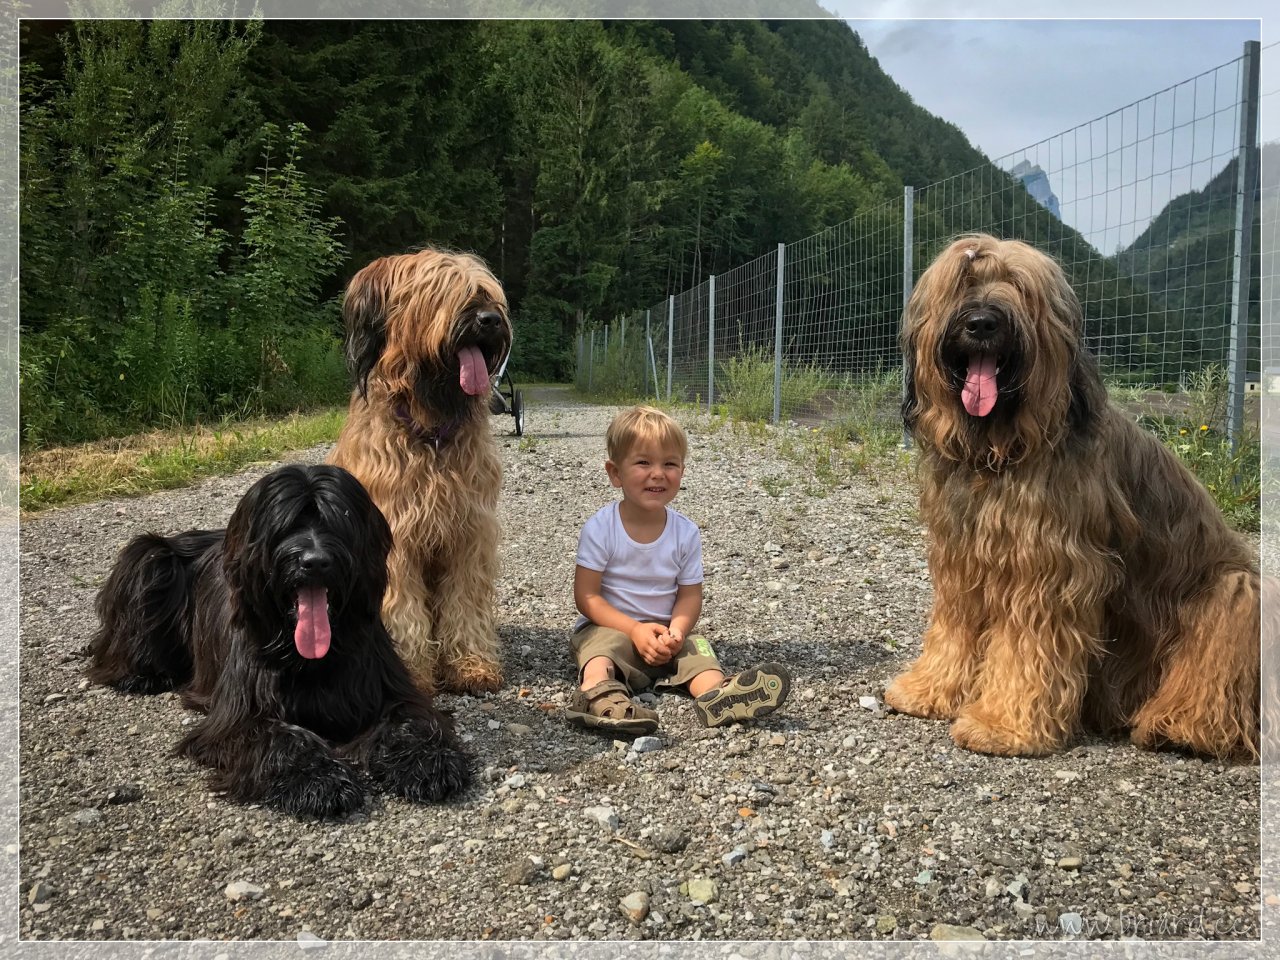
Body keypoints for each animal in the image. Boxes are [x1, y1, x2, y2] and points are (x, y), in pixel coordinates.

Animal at [87, 465, 473, 819]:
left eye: (338, 521)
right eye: (286, 525)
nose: (314, 562)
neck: (311, 657)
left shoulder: (390, 689)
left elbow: (411, 720)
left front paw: (426, 762)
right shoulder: (239, 717)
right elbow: (282, 738)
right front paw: (318, 781)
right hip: (149, 558)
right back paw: (139, 674)